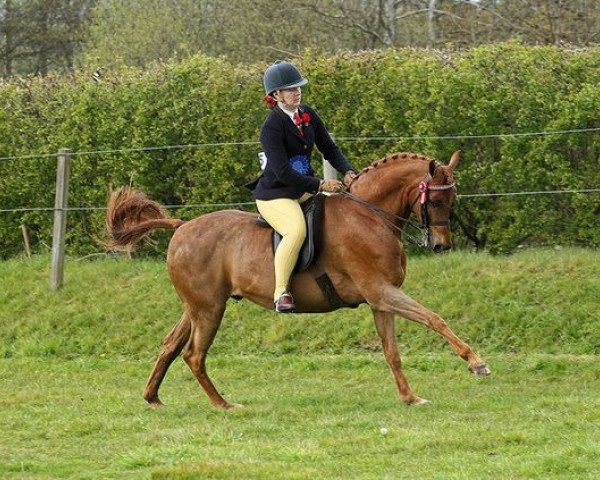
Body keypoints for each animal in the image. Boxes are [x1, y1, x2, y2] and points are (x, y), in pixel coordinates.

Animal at [106, 150, 492, 408]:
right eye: (437, 200)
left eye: (452, 199)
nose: (441, 245)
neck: (369, 216)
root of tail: (182, 226)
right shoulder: (382, 293)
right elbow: (434, 318)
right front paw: (476, 363)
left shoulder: (380, 300)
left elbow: (391, 351)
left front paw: (410, 398)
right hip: (209, 309)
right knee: (193, 354)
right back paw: (223, 405)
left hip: (198, 306)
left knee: (170, 345)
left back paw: (153, 398)